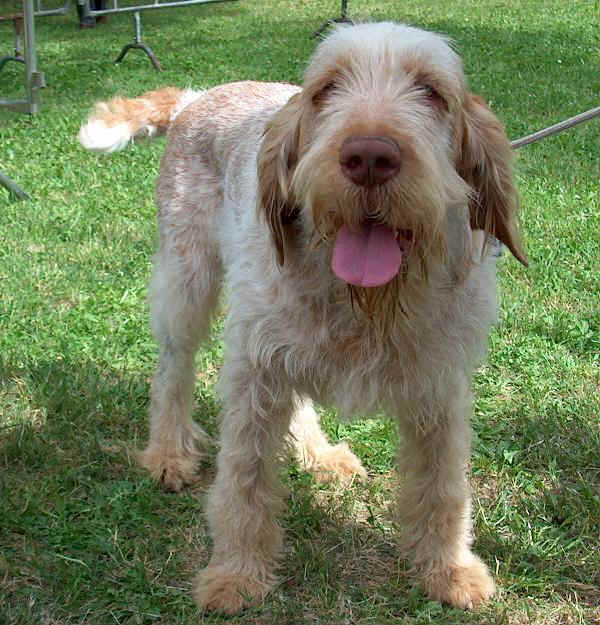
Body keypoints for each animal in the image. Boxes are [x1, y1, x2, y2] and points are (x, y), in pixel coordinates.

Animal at [78, 22, 524, 612]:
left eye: (431, 91)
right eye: (326, 89)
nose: (369, 157)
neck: (365, 303)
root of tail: (198, 96)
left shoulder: (441, 387)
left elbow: (443, 486)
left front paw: (448, 569)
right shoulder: (252, 372)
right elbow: (242, 481)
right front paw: (236, 573)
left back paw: (318, 453)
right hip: (186, 280)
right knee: (173, 368)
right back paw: (169, 453)